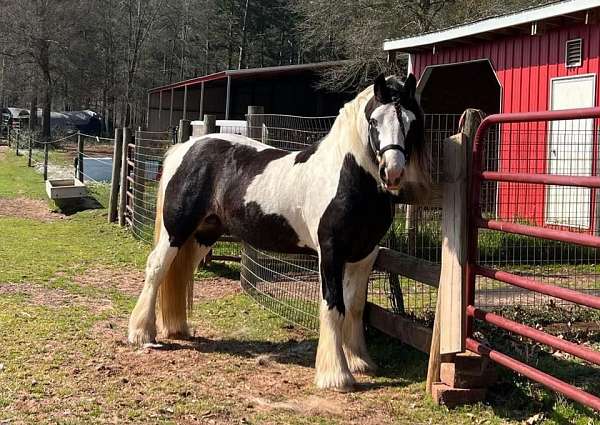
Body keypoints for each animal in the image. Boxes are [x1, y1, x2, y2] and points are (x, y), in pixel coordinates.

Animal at [130, 74, 432, 392]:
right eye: (374, 121)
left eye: (411, 121)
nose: (393, 172)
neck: (344, 176)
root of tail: (185, 148)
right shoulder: (331, 253)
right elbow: (333, 305)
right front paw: (335, 375)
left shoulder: (364, 256)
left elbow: (354, 307)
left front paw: (359, 361)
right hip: (175, 230)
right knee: (157, 268)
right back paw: (142, 334)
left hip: (204, 233)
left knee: (180, 271)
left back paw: (177, 328)